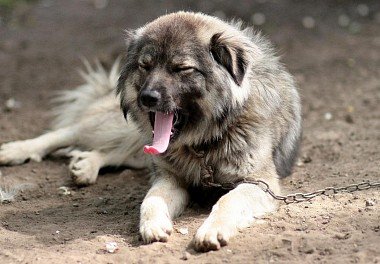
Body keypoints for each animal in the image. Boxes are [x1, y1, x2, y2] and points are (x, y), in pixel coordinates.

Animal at [0, 12, 302, 252]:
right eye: (145, 65)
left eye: (182, 68)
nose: (147, 98)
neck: (203, 142)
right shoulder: (170, 178)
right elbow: (151, 200)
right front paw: (152, 225)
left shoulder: (259, 183)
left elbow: (228, 200)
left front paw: (211, 229)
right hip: (121, 129)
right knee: (69, 131)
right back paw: (16, 150)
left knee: (113, 152)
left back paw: (85, 165)